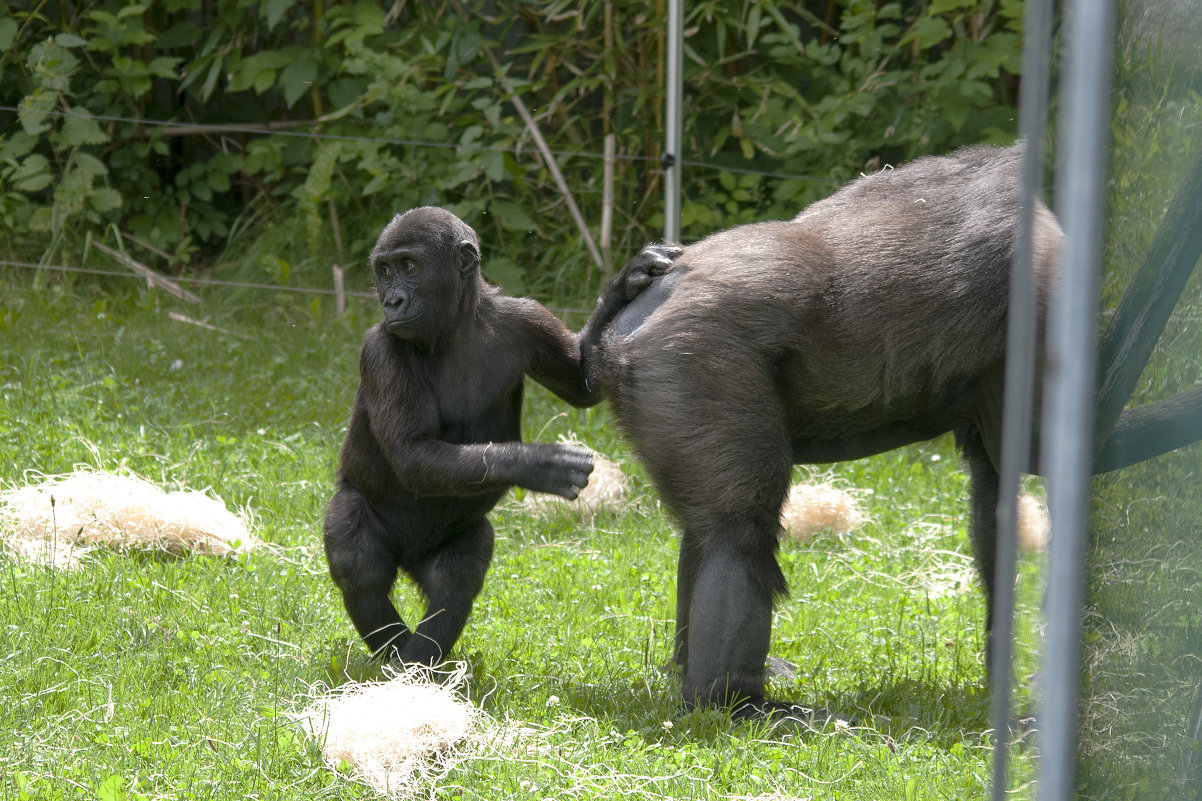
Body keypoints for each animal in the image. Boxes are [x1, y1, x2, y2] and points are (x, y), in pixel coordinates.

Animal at [324, 204, 601, 659]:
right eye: (384, 270)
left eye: (409, 266)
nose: (392, 300)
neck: (456, 324)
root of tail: (411, 558)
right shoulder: (381, 351)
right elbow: (413, 452)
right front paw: (538, 464)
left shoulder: (529, 319)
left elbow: (583, 384)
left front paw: (633, 280)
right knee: (359, 564)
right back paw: (400, 665)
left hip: (449, 542)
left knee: (456, 577)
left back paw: (421, 662)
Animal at [581, 144, 1062, 716]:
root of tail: (618, 335)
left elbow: (996, 495)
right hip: (690, 356)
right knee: (736, 527)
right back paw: (735, 701)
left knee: (704, 528)